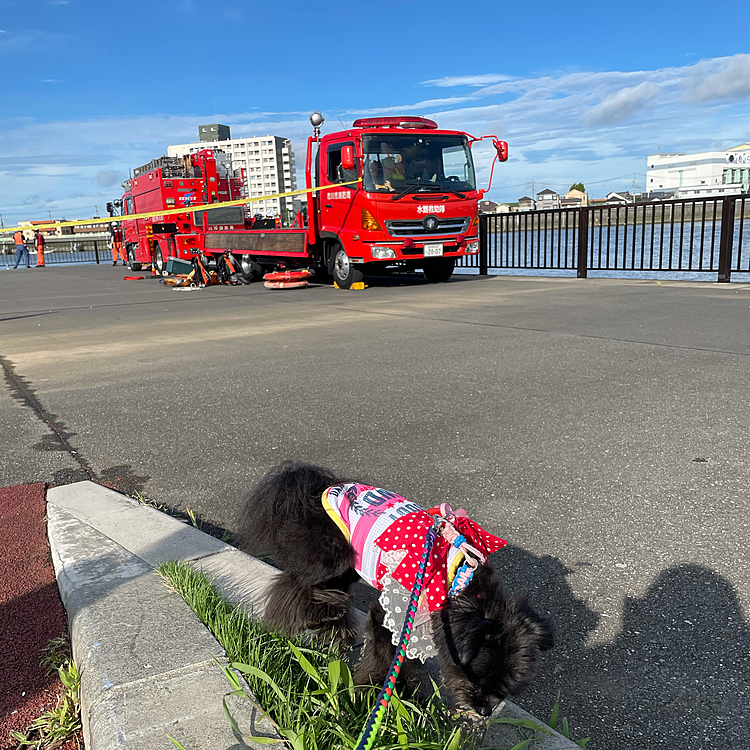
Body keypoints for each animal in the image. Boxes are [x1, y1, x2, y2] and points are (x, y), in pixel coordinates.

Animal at [238, 464, 556, 716]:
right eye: (475, 677)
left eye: (508, 686)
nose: (485, 710)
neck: (458, 578)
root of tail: (318, 487)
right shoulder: (393, 609)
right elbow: (383, 655)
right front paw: (371, 693)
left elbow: (403, 659)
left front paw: (404, 693)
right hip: (329, 556)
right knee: (295, 585)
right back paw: (311, 616)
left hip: (350, 563)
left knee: (330, 590)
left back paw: (335, 627)